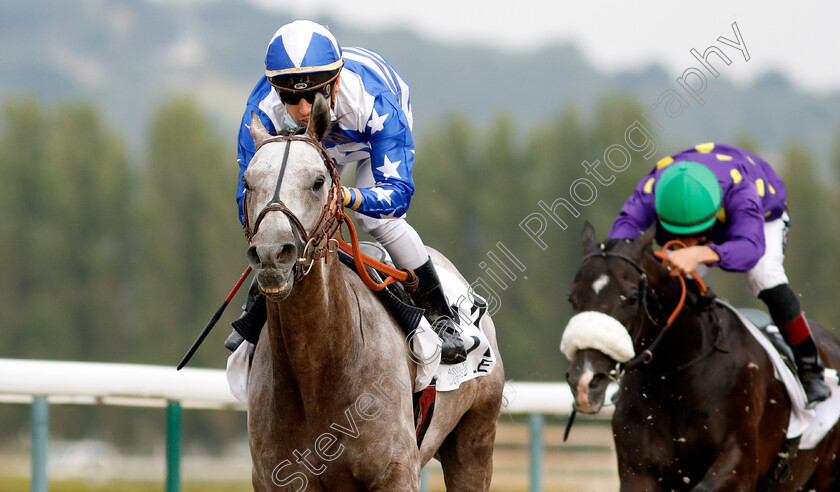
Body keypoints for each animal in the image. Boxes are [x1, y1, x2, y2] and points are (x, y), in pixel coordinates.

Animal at [560, 224, 840, 492]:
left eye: (630, 298)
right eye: (572, 297)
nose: (585, 381)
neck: (676, 372)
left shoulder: (738, 466)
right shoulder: (638, 473)